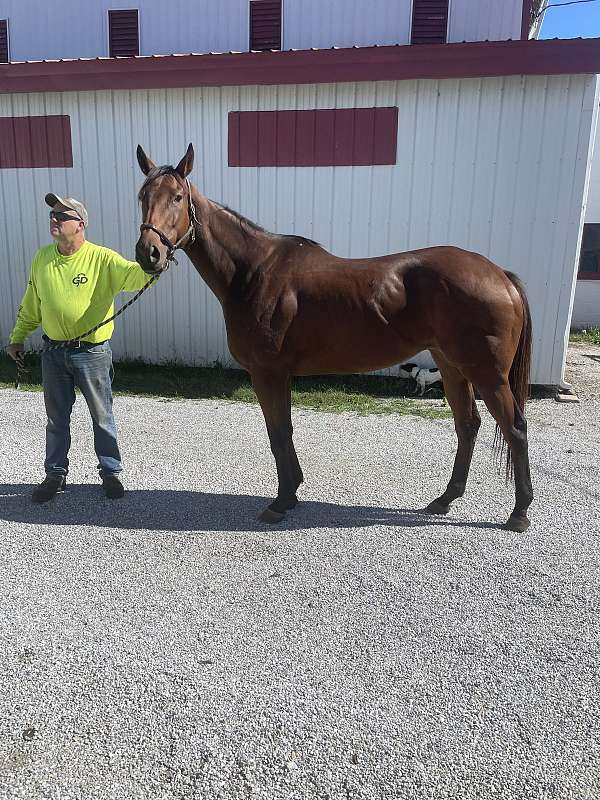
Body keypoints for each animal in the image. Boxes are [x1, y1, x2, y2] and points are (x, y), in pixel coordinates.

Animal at [134, 145, 532, 532]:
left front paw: (281, 501)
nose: (149, 253)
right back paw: (445, 500)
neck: (253, 272)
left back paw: (520, 513)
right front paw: (292, 493)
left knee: (515, 429)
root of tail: (500, 275)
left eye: (177, 197)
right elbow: (283, 431)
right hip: (452, 367)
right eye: (142, 196)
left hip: (487, 374)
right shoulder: (278, 375)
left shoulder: (267, 373)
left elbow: (279, 433)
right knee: (467, 427)